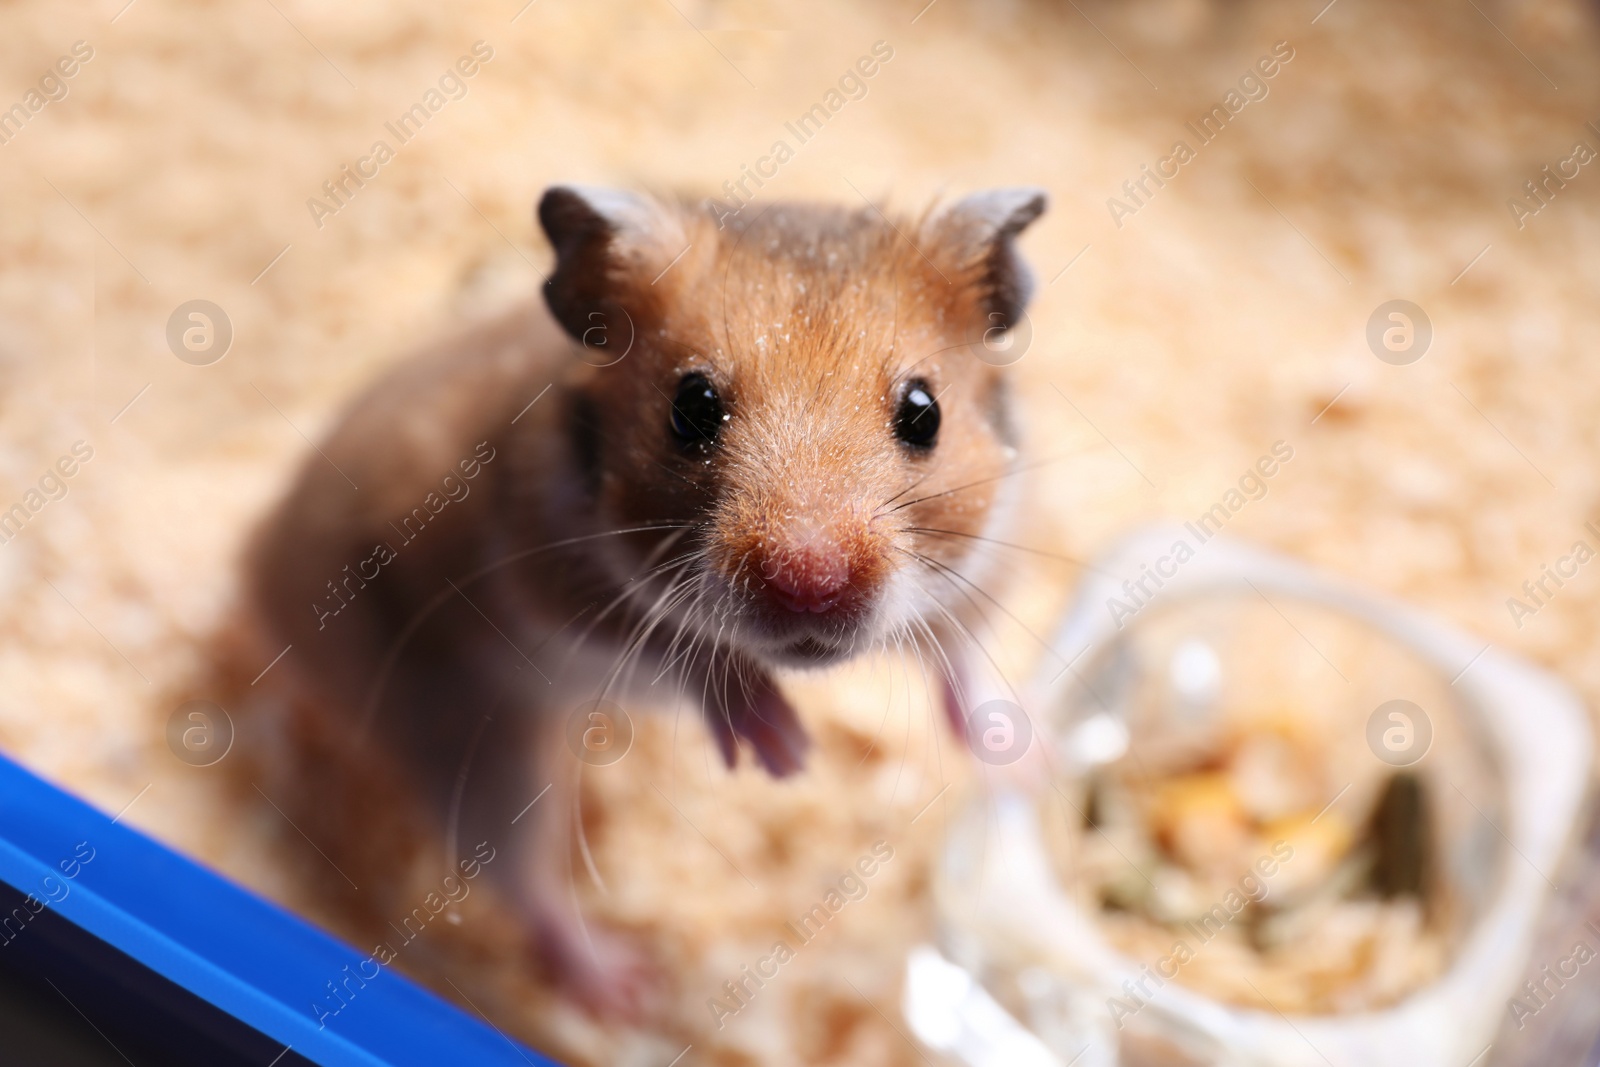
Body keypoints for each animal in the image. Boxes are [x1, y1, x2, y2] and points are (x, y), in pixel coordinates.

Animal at [240, 185, 1049, 1017]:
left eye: (923, 412)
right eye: (692, 407)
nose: (810, 582)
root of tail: (258, 566)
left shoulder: (984, 567)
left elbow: (963, 664)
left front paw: (1028, 764)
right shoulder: (562, 594)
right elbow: (691, 656)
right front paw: (786, 754)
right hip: (474, 737)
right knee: (527, 885)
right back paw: (625, 985)